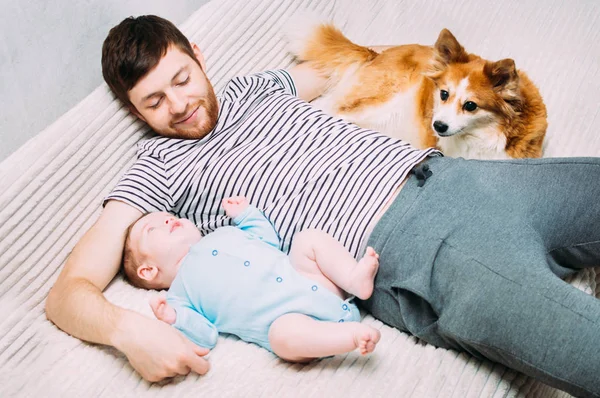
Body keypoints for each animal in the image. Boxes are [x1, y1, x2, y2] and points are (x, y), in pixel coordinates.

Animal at [286, 18, 548, 159]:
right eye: (443, 94)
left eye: (471, 105)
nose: (437, 126)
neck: (484, 135)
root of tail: (376, 53)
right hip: (375, 99)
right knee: (325, 107)